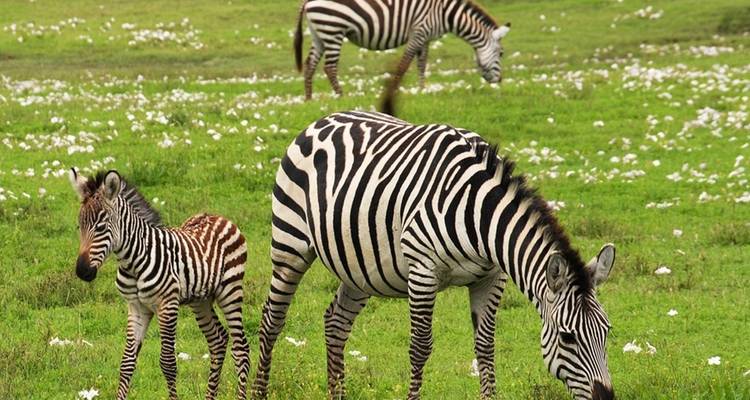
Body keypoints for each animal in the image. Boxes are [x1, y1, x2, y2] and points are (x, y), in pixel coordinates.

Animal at [69, 169, 250, 400]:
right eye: (79, 226)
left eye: (101, 227)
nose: (82, 272)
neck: (133, 262)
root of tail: (219, 216)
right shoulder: (136, 307)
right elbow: (127, 363)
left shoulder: (167, 305)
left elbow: (168, 363)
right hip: (200, 300)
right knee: (218, 341)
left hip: (230, 290)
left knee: (241, 349)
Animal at [252, 111, 616, 400]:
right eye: (568, 337)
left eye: (607, 331)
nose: (605, 398)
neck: (479, 215)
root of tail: (321, 120)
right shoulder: (423, 270)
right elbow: (420, 347)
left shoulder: (491, 277)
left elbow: (485, 347)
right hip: (290, 243)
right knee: (272, 319)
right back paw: (256, 391)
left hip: (358, 267)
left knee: (335, 323)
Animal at [294, 0, 511, 104]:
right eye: (501, 54)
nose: (499, 81)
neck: (445, 13)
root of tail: (308, 0)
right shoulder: (419, 31)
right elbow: (405, 64)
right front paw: (396, 90)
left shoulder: (426, 38)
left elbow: (422, 63)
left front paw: (422, 89)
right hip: (333, 29)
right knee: (329, 67)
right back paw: (342, 96)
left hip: (319, 33)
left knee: (309, 64)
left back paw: (308, 99)